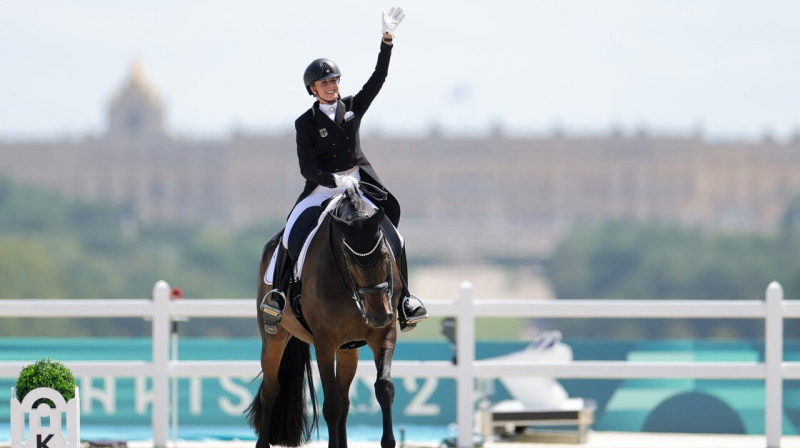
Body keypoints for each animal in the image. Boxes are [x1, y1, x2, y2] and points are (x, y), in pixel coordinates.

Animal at [247, 187, 404, 448]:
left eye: (384, 254)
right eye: (350, 260)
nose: (379, 314)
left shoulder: (384, 334)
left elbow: (384, 389)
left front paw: (389, 441)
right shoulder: (324, 343)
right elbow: (331, 405)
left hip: (348, 349)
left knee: (345, 400)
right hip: (273, 339)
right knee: (271, 390)